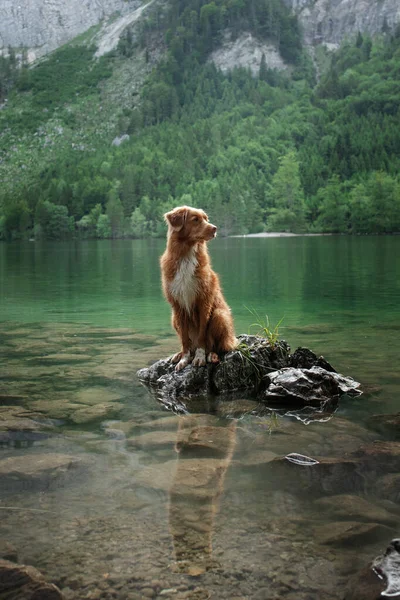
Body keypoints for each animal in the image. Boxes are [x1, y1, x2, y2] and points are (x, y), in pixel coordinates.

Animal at [159, 206, 236, 370]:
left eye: (206, 219)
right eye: (195, 220)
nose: (214, 228)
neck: (186, 254)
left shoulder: (203, 301)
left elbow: (202, 335)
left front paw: (200, 357)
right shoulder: (178, 306)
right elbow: (184, 339)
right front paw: (184, 358)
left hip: (219, 314)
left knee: (218, 346)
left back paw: (211, 355)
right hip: (173, 318)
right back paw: (179, 354)